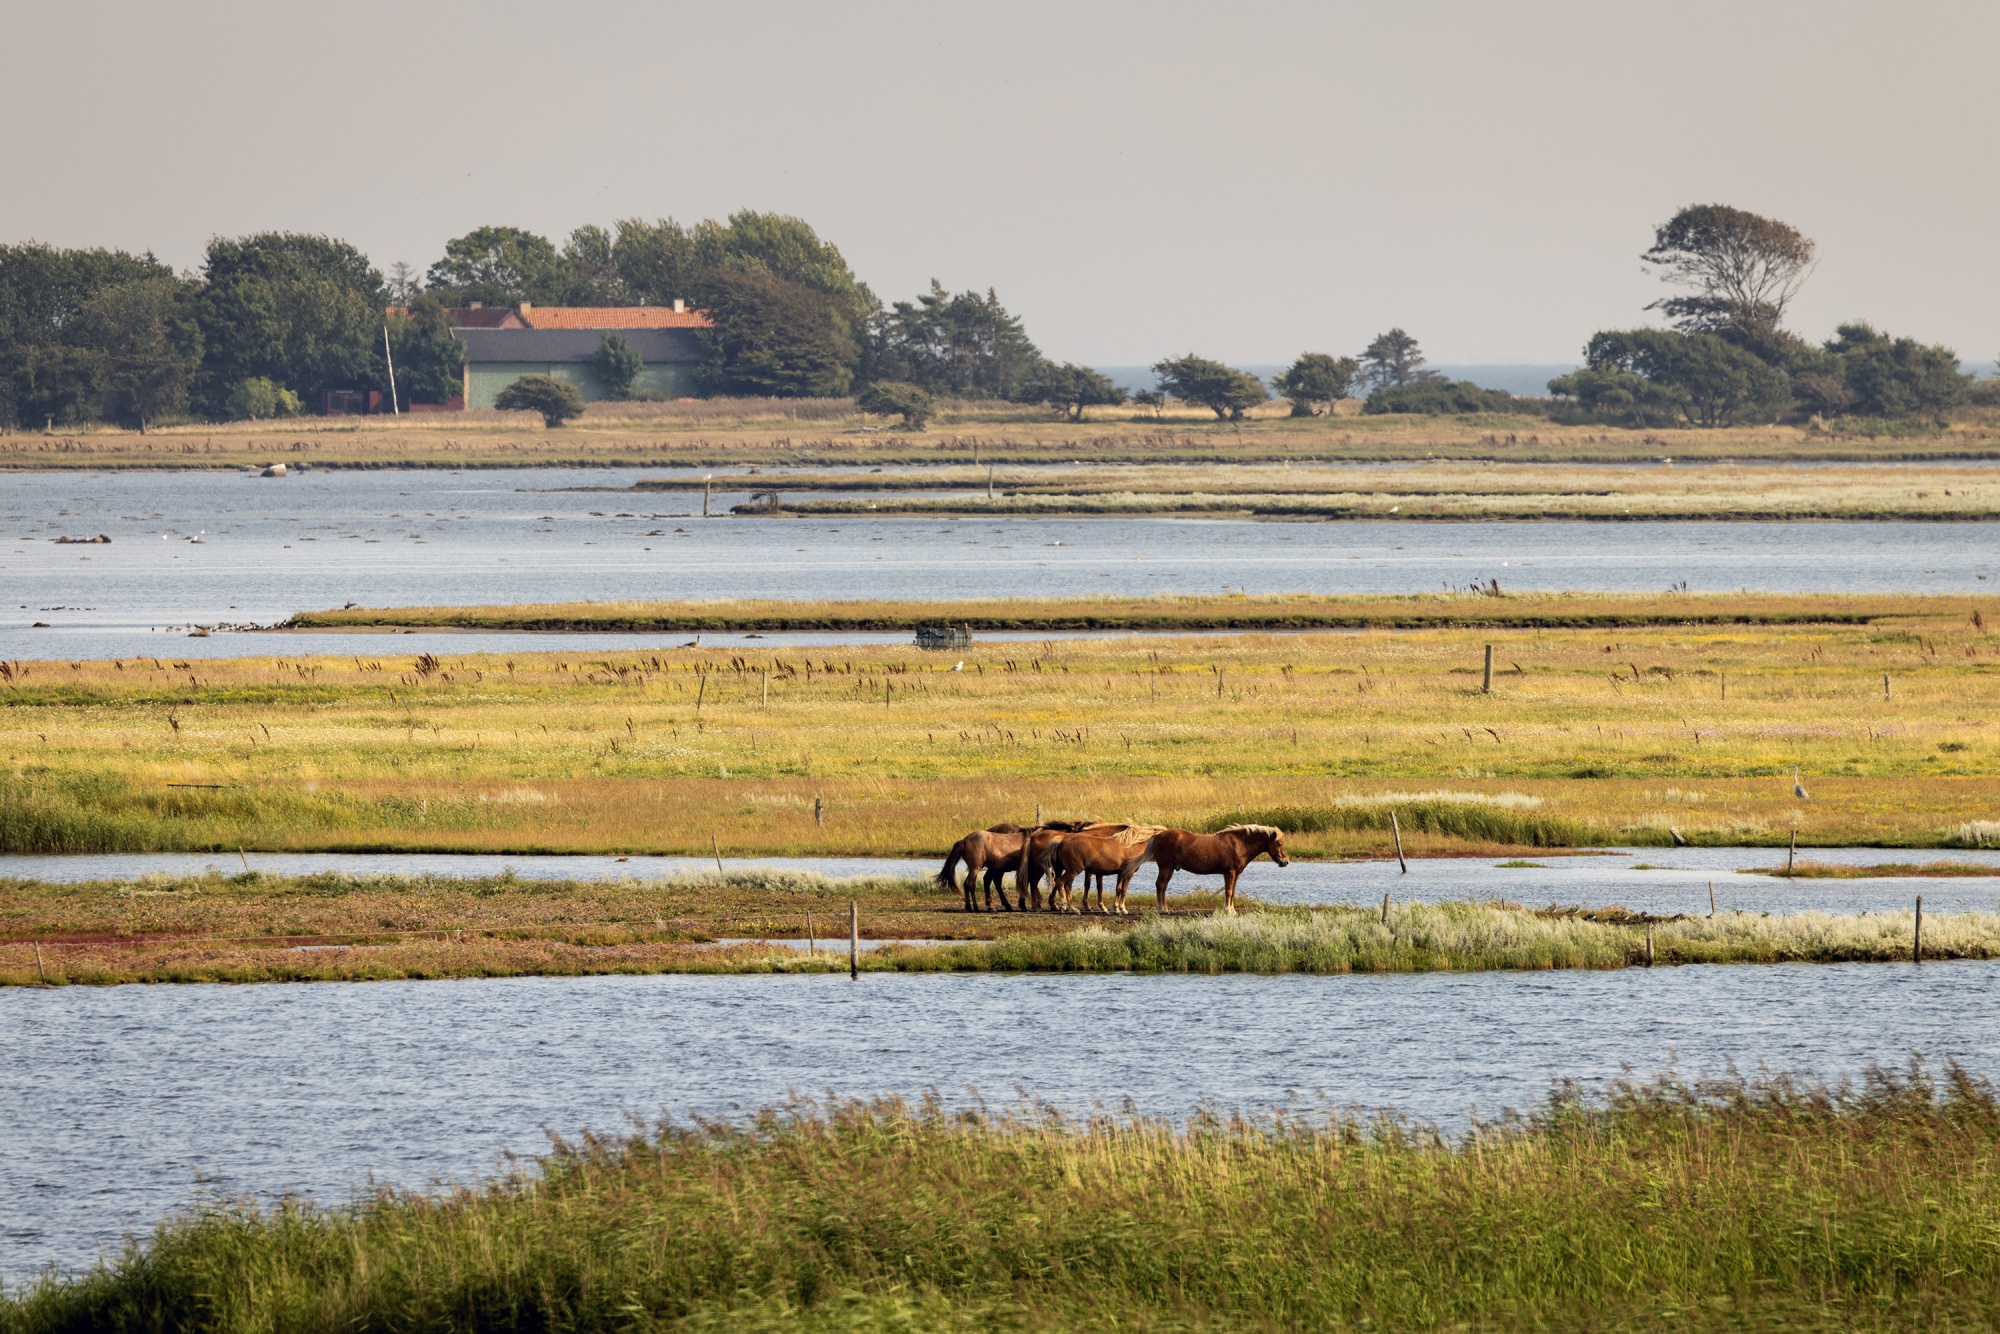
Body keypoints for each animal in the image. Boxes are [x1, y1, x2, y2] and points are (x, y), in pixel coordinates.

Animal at [1142, 824, 1289, 914]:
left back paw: (1165, 908)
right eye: (1279, 843)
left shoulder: (1236, 874)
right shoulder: (1229, 872)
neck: (1239, 844)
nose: (1285, 861)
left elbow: (1233, 891)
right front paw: (1228, 910)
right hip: (1165, 867)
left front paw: (1232, 910)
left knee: (1164, 887)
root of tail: (1157, 835)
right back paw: (1160, 909)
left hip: (1171, 869)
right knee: (1159, 885)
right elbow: (1228, 891)